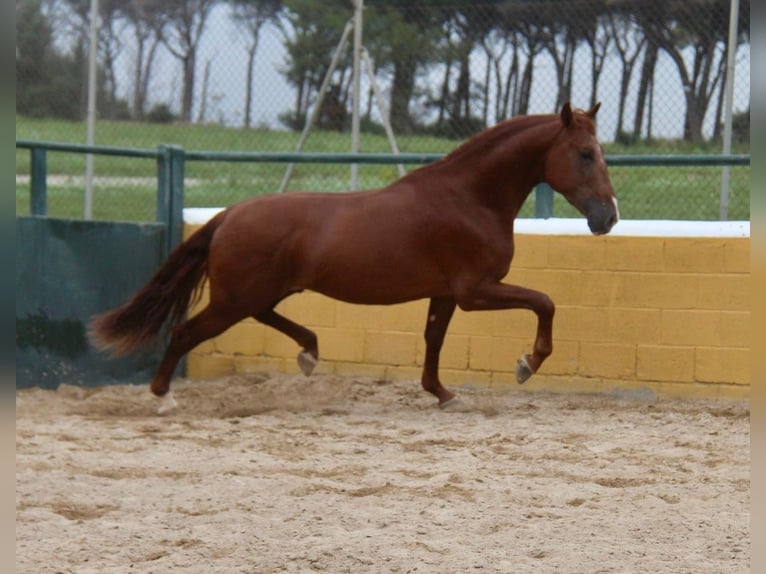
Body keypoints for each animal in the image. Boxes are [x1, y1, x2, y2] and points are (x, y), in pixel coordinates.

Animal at [90, 103, 616, 414]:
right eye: (586, 154)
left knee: (264, 316)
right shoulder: (475, 290)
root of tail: (229, 214)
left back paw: (309, 351)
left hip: (258, 292)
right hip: (234, 299)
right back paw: (163, 399)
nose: (607, 217)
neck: (469, 198)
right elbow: (545, 301)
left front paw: (442, 394)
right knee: (185, 332)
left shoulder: (447, 293)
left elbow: (434, 340)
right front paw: (528, 364)